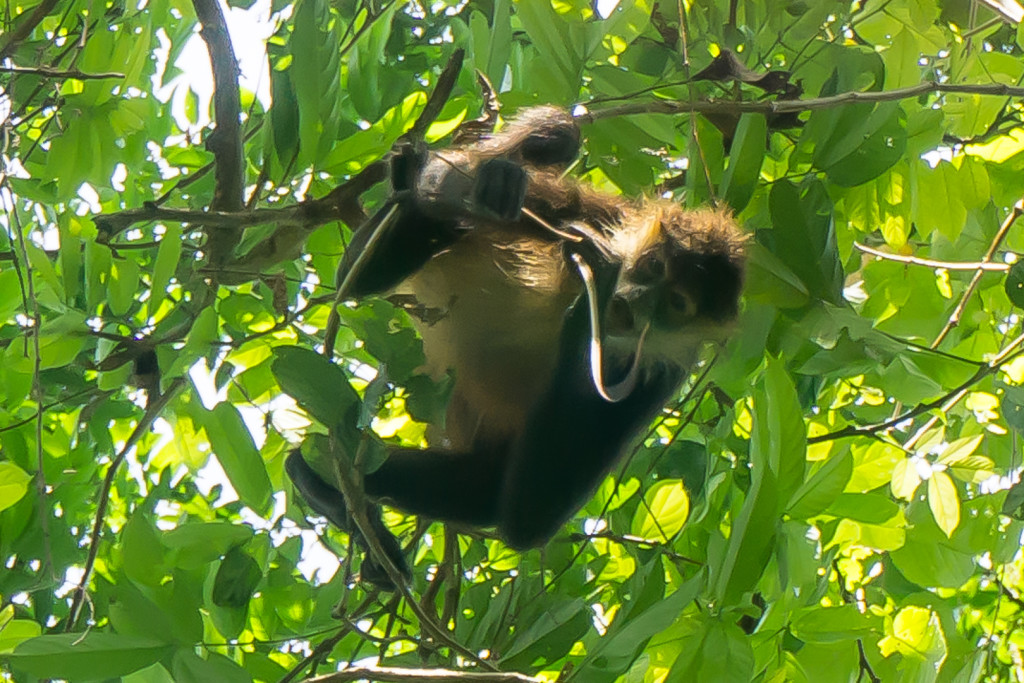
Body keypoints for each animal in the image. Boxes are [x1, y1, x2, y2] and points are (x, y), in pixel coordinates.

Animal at [286, 106, 745, 585]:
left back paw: (327, 490)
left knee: (482, 488)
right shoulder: (596, 213)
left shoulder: (665, 373)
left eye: (675, 303)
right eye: (654, 266)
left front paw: (593, 298)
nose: (634, 300)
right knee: (362, 272)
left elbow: (529, 521)